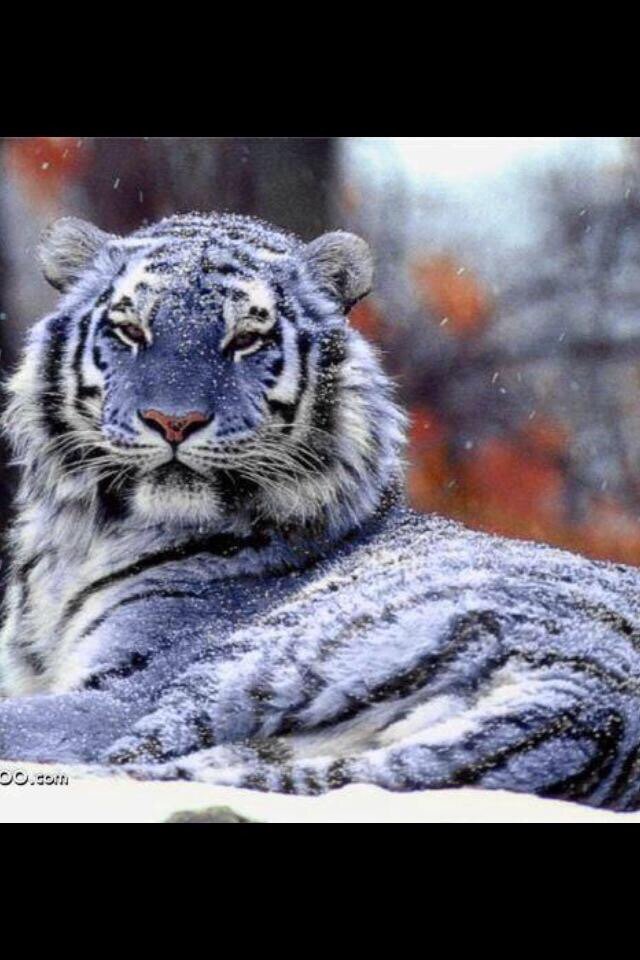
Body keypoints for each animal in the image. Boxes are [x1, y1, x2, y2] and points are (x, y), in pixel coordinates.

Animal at [1, 211, 640, 811]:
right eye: (131, 329)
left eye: (246, 339)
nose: (173, 421)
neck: (84, 535)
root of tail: (589, 717)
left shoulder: (124, 690)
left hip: (249, 663)